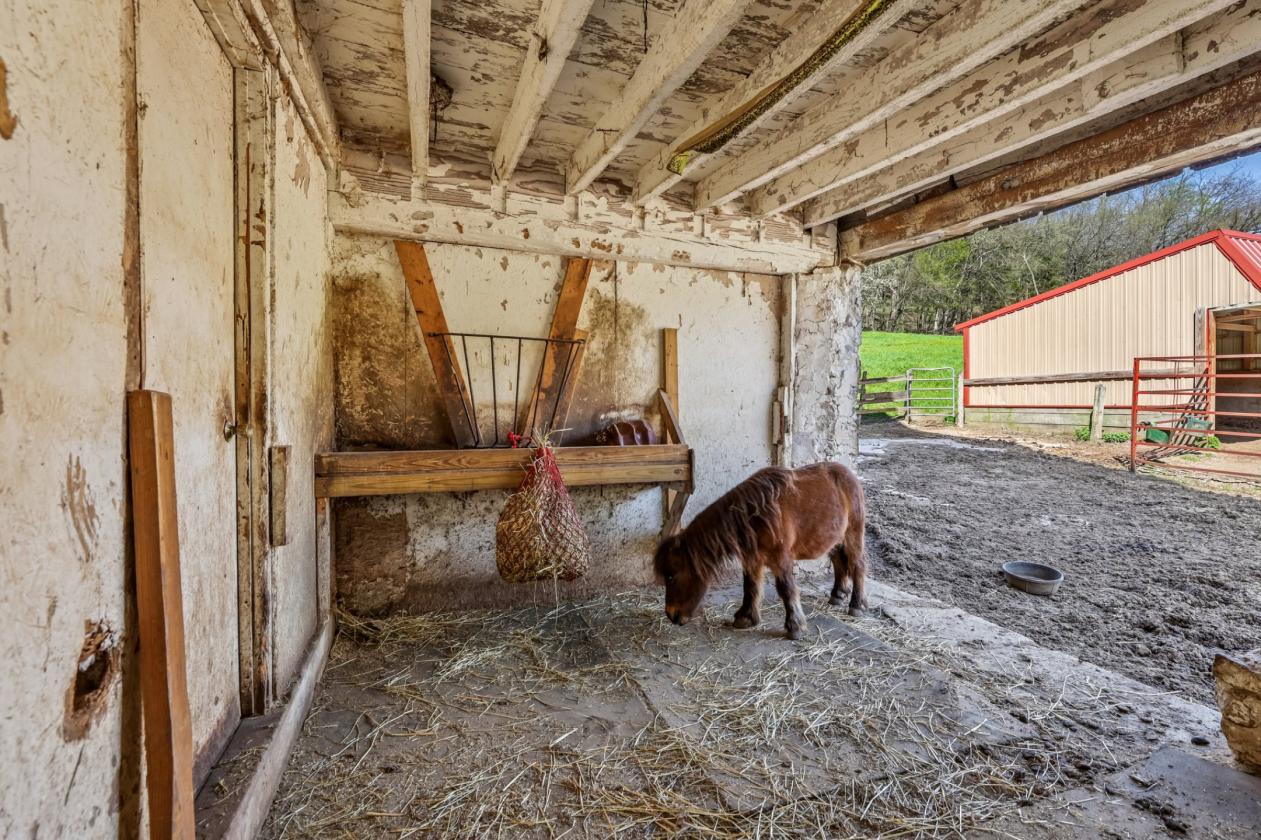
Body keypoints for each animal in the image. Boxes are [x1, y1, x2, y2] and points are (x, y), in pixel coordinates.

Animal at [652, 462, 867, 640]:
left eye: (672, 576)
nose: (671, 615)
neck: (756, 517)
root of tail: (850, 475)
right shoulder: (752, 559)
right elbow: (751, 586)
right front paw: (746, 618)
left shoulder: (781, 559)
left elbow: (786, 589)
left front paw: (795, 627)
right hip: (834, 540)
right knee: (839, 562)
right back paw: (837, 595)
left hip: (853, 535)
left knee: (857, 566)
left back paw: (856, 606)